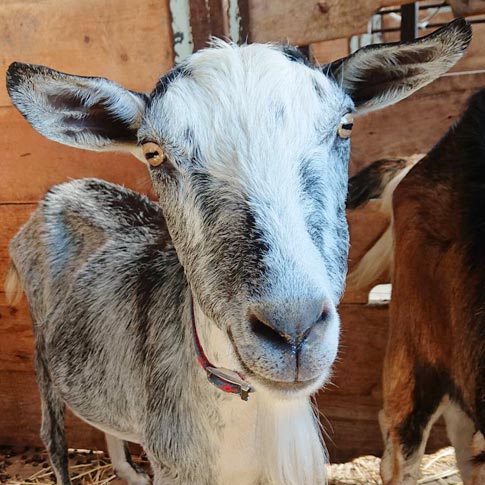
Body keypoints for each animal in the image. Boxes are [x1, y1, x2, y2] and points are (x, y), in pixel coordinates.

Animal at [4, 21, 468, 484]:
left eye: (345, 125)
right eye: (154, 152)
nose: (293, 331)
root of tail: (64, 190)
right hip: (42, 350)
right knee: (52, 435)